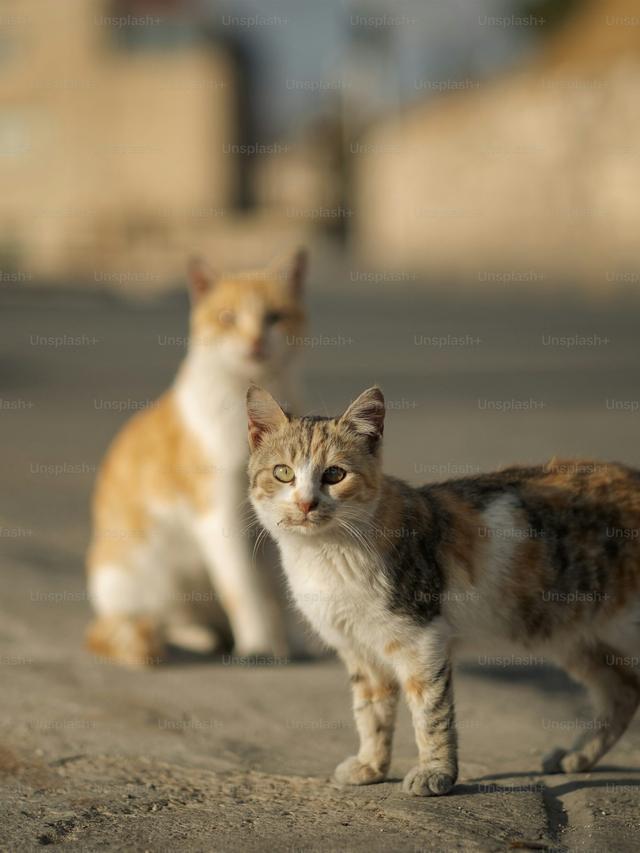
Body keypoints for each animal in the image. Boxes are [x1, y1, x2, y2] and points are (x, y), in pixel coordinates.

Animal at [85, 250, 308, 664]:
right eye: (227, 318)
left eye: (274, 316)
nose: (255, 340)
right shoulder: (217, 514)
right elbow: (244, 589)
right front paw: (259, 645)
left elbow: (283, 587)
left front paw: (297, 642)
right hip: (135, 572)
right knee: (150, 619)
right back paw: (195, 637)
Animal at [246, 382, 640, 796]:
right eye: (283, 473)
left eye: (335, 474)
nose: (306, 503)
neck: (328, 553)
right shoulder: (361, 650)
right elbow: (371, 712)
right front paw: (371, 766)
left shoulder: (422, 639)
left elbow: (430, 712)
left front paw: (435, 774)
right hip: (574, 636)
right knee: (624, 690)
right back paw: (576, 757)